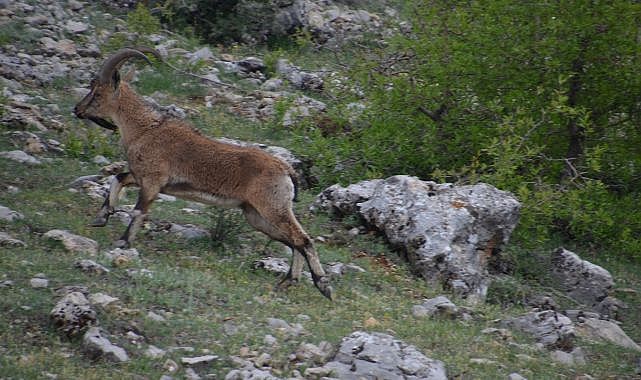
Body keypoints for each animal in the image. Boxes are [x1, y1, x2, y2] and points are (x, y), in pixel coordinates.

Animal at [73, 46, 332, 298]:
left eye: (97, 93)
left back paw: (323, 286)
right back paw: (288, 282)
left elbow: (138, 211)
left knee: (303, 239)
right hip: (256, 215)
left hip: (273, 208)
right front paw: (101, 218)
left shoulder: (152, 182)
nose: (77, 109)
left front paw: (122, 242)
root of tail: (286, 169)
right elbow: (118, 178)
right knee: (293, 241)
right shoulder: (142, 177)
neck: (145, 129)